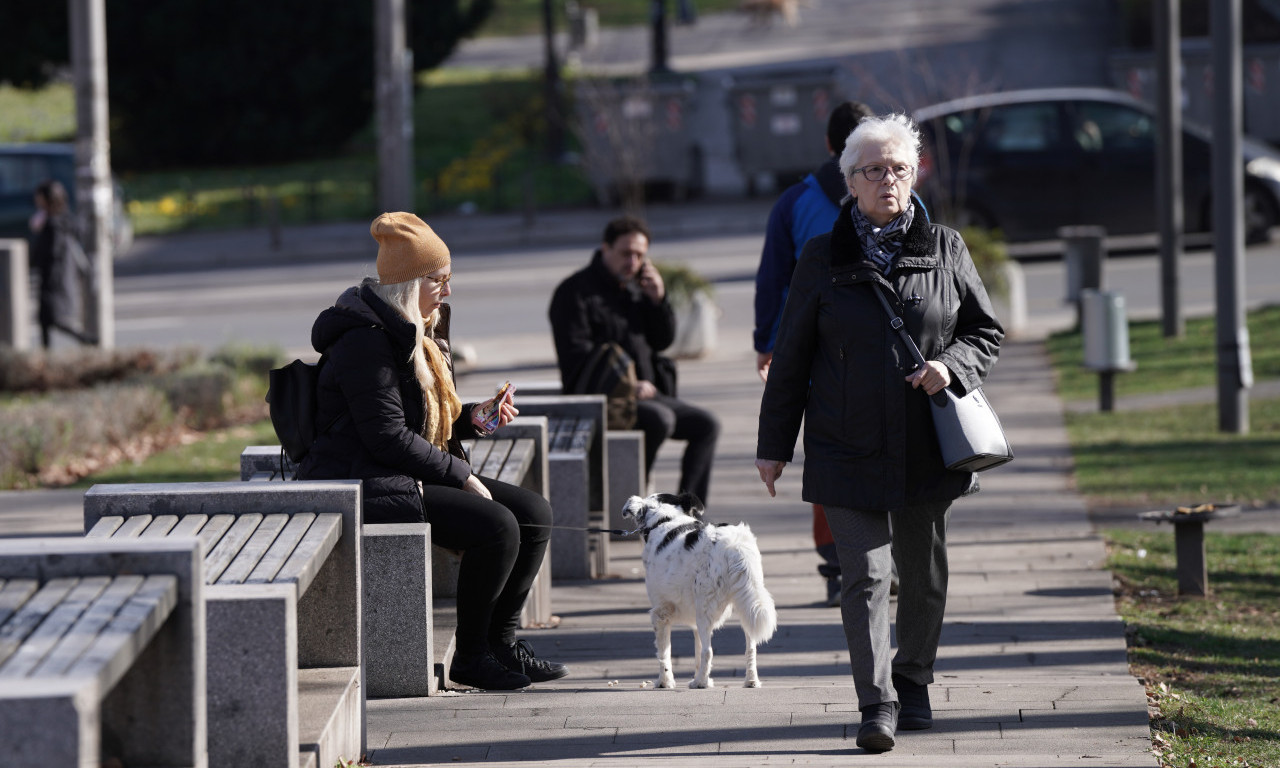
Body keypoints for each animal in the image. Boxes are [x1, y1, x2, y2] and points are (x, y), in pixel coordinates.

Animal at [622, 491, 778, 691]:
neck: (665, 518)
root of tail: (733, 544)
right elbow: (696, 651)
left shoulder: (660, 613)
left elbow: (664, 654)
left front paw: (665, 682)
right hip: (746, 603)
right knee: (750, 647)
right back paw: (750, 681)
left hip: (705, 607)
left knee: (708, 651)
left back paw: (700, 683)